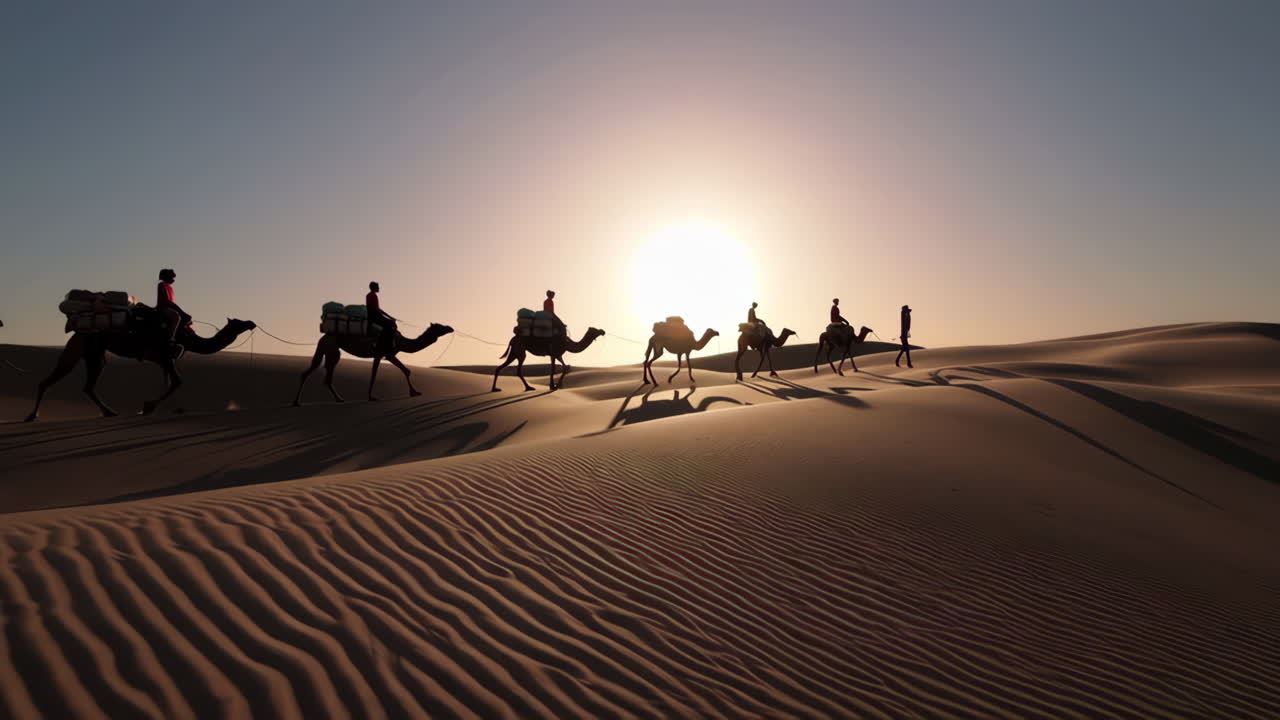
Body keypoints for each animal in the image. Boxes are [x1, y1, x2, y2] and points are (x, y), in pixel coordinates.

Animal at [25, 317, 256, 421]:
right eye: (237, 322)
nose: (251, 322)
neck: (189, 340)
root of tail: (78, 331)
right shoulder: (167, 355)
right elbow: (177, 381)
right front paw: (147, 406)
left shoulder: (163, 360)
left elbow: (169, 382)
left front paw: (171, 409)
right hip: (88, 349)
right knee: (61, 379)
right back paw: (32, 415)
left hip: (91, 352)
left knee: (84, 384)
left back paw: (109, 412)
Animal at [293, 323, 454, 405]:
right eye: (439, 326)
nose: (450, 328)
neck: (401, 342)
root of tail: (324, 336)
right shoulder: (384, 353)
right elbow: (375, 375)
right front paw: (372, 397)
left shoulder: (387, 355)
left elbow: (406, 370)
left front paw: (415, 392)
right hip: (330, 348)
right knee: (318, 372)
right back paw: (297, 401)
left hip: (327, 349)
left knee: (321, 374)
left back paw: (339, 399)